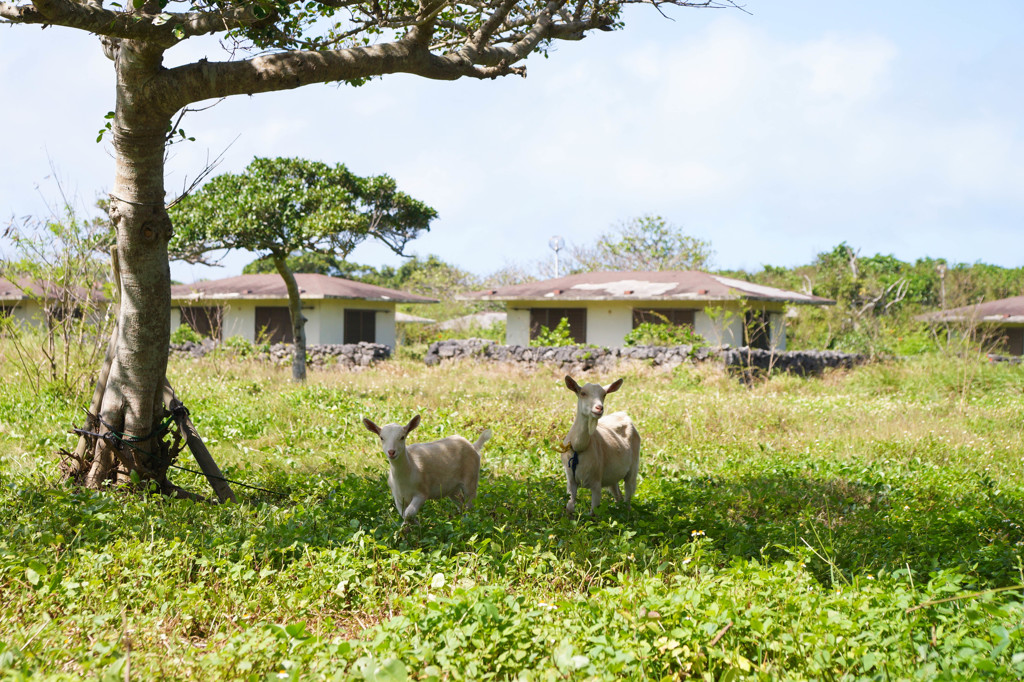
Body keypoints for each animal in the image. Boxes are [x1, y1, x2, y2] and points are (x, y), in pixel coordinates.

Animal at [360, 413, 491, 520]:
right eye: (381, 437)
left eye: (402, 437)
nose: (391, 452)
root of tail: (474, 446)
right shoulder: (397, 497)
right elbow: (404, 515)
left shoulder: (422, 492)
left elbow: (409, 513)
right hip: (452, 488)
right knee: (461, 503)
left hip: (471, 477)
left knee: (471, 502)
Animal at [561, 374, 638, 512]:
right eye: (583, 393)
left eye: (604, 394)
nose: (599, 408)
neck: (579, 448)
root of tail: (624, 414)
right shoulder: (570, 481)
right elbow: (570, 508)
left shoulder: (596, 482)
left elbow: (594, 513)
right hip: (612, 476)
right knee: (618, 494)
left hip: (633, 467)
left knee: (628, 495)